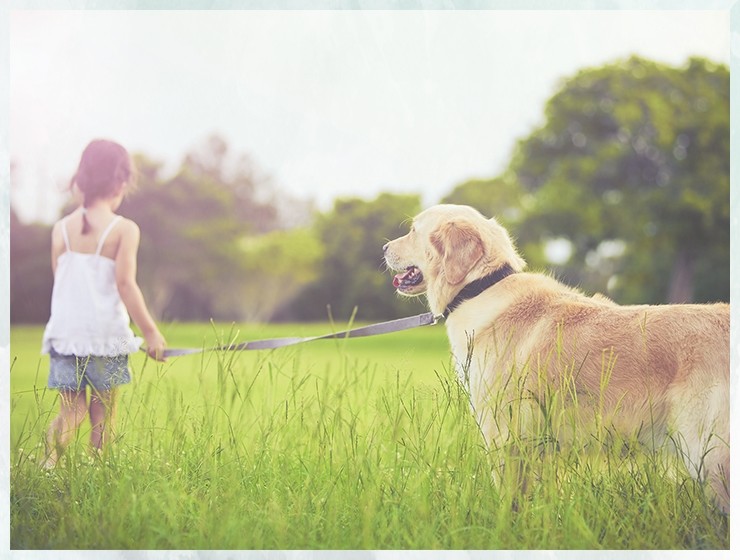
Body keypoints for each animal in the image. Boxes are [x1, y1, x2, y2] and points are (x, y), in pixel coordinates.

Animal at [384, 205, 732, 512]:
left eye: (413, 230)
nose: (384, 247)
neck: (480, 288)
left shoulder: (503, 434)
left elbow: (508, 501)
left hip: (711, 455)